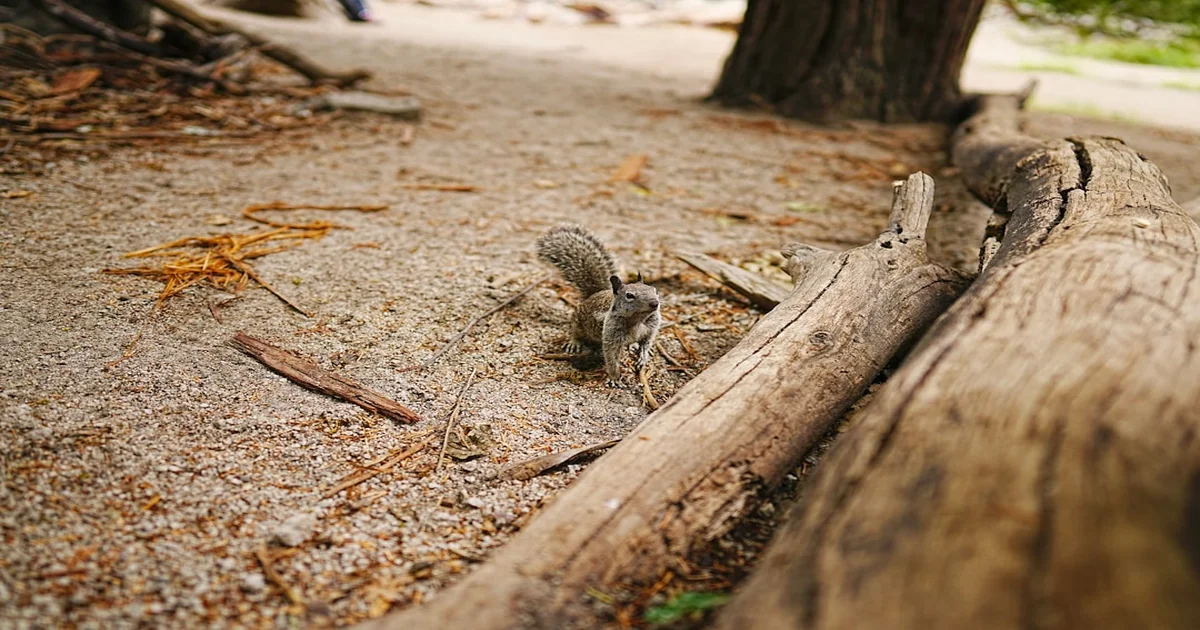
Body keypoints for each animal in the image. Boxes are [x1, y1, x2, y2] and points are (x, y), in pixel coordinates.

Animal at [536, 225, 661, 387]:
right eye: (629, 295)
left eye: (655, 290)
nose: (655, 303)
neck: (638, 320)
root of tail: (593, 294)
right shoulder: (611, 335)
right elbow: (611, 358)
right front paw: (614, 378)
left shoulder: (650, 329)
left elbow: (646, 343)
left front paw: (643, 357)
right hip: (578, 321)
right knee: (575, 331)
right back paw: (574, 343)